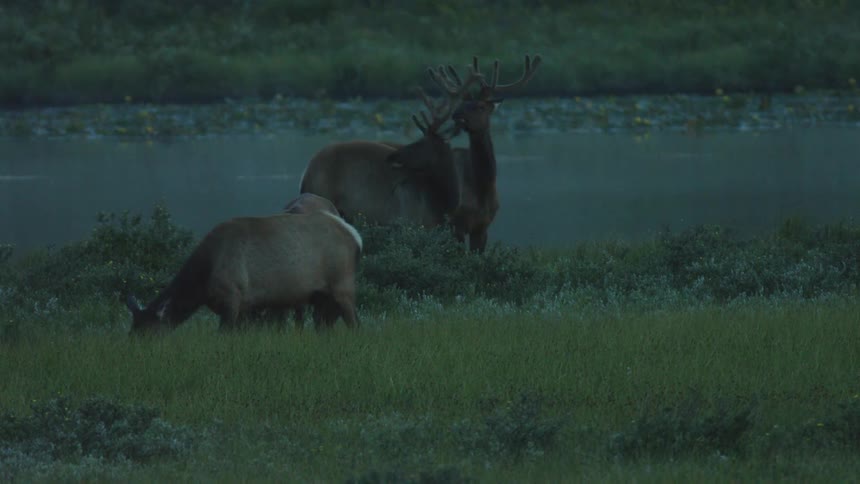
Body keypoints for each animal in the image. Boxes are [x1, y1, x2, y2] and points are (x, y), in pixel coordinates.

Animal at [125, 209, 362, 334]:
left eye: (149, 331)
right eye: (132, 329)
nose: (136, 348)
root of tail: (355, 236)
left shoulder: (233, 296)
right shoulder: (245, 307)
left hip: (342, 283)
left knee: (355, 323)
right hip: (320, 296)